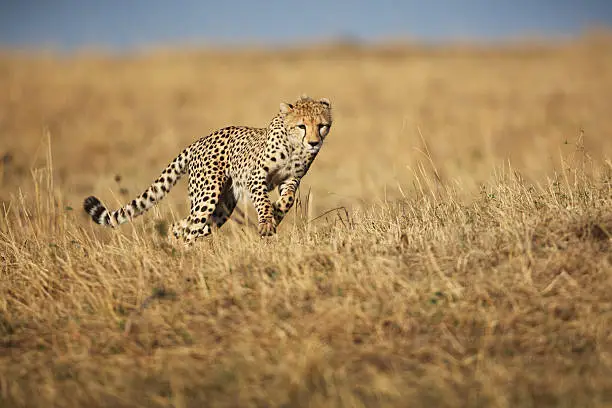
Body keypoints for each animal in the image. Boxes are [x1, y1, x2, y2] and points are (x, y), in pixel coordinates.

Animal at [83, 94, 332, 244]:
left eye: (322, 126)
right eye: (302, 126)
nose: (314, 143)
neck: (295, 147)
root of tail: (198, 142)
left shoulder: (291, 179)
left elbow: (287, 199)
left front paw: (276, 214)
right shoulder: (255, 177)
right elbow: (262, 201)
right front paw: (266, 221)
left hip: (222, 207)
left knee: (181, 226)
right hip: (207, 195)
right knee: (190, 228)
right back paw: (185, 258)